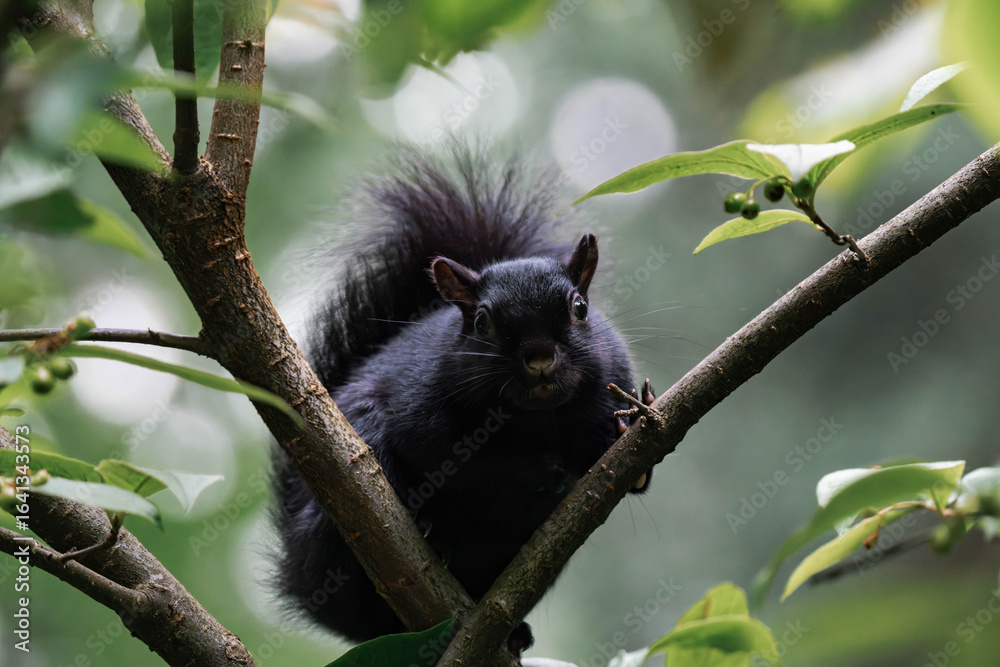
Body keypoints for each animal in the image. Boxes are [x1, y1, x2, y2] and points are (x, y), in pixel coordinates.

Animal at [272, 147, 653, 650]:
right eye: (482, 323)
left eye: (580, 308)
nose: (539, 356)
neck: (535, 420)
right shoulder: (421, 411)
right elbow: (457, 463)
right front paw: (540, 468)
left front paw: (628, 433)